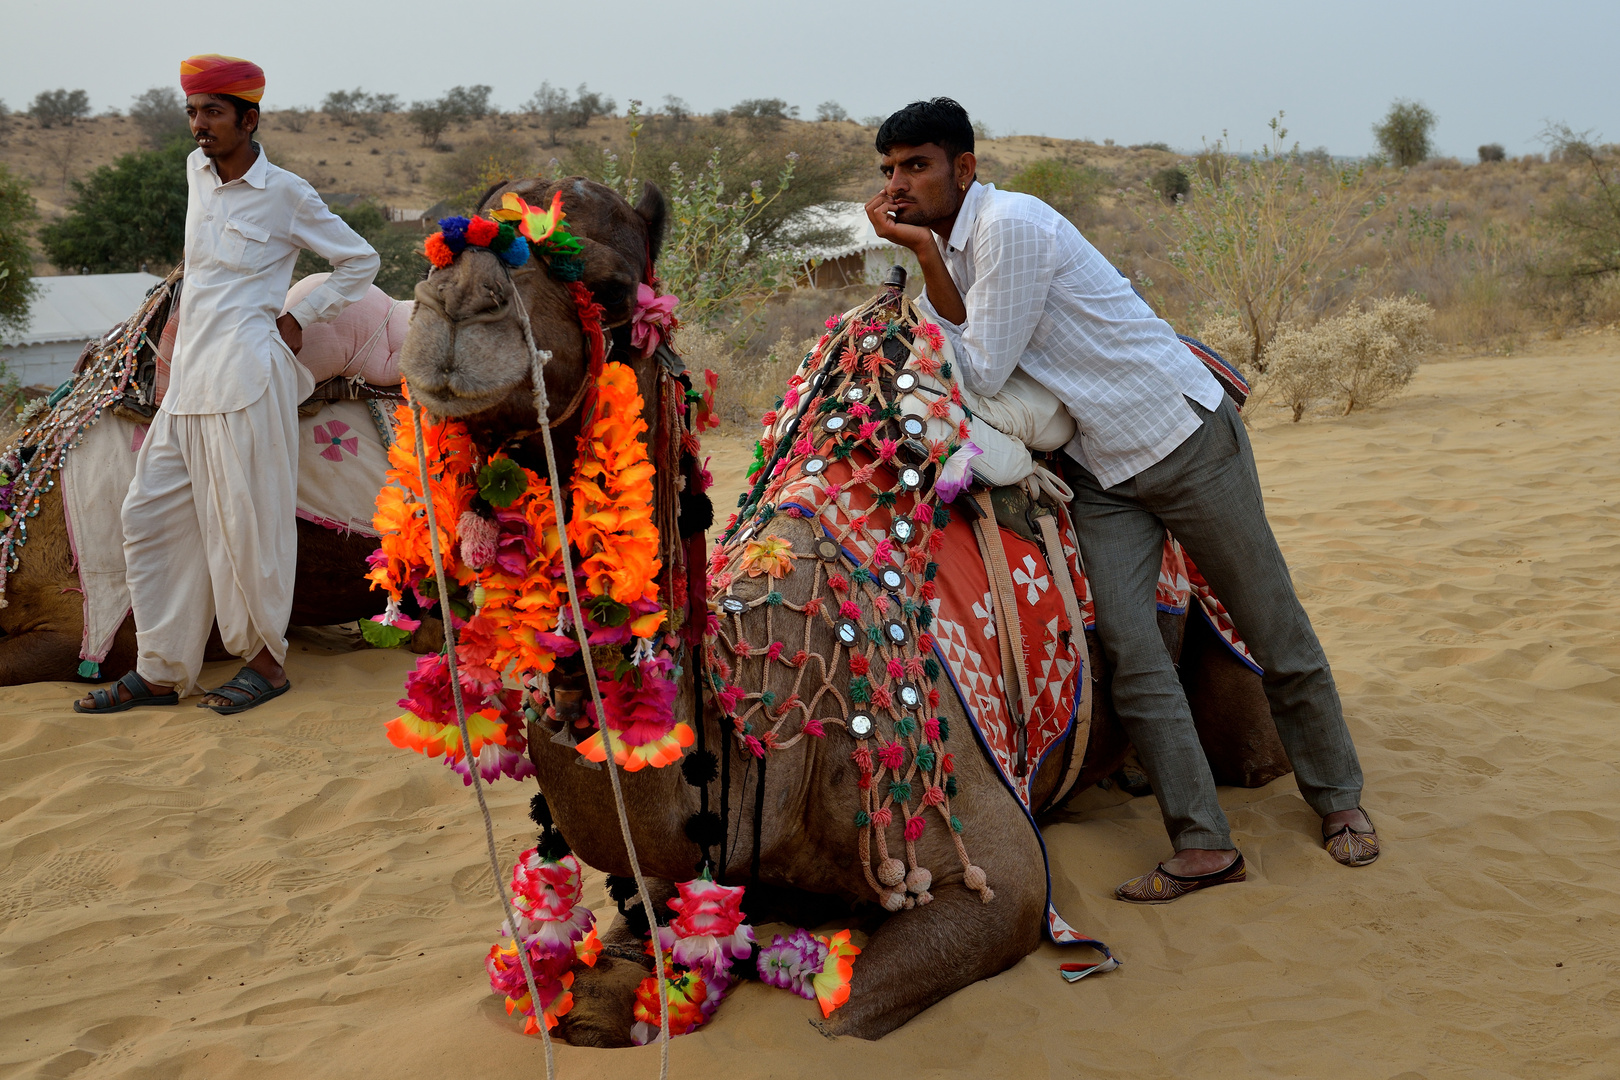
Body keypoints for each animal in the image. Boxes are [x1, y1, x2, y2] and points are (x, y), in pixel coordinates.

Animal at [398, 173, 1283, 1042]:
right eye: (442, 243)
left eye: (613, 287)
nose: (455, 303)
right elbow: (589, 1001)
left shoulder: (991, 870)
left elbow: (840, 1021)